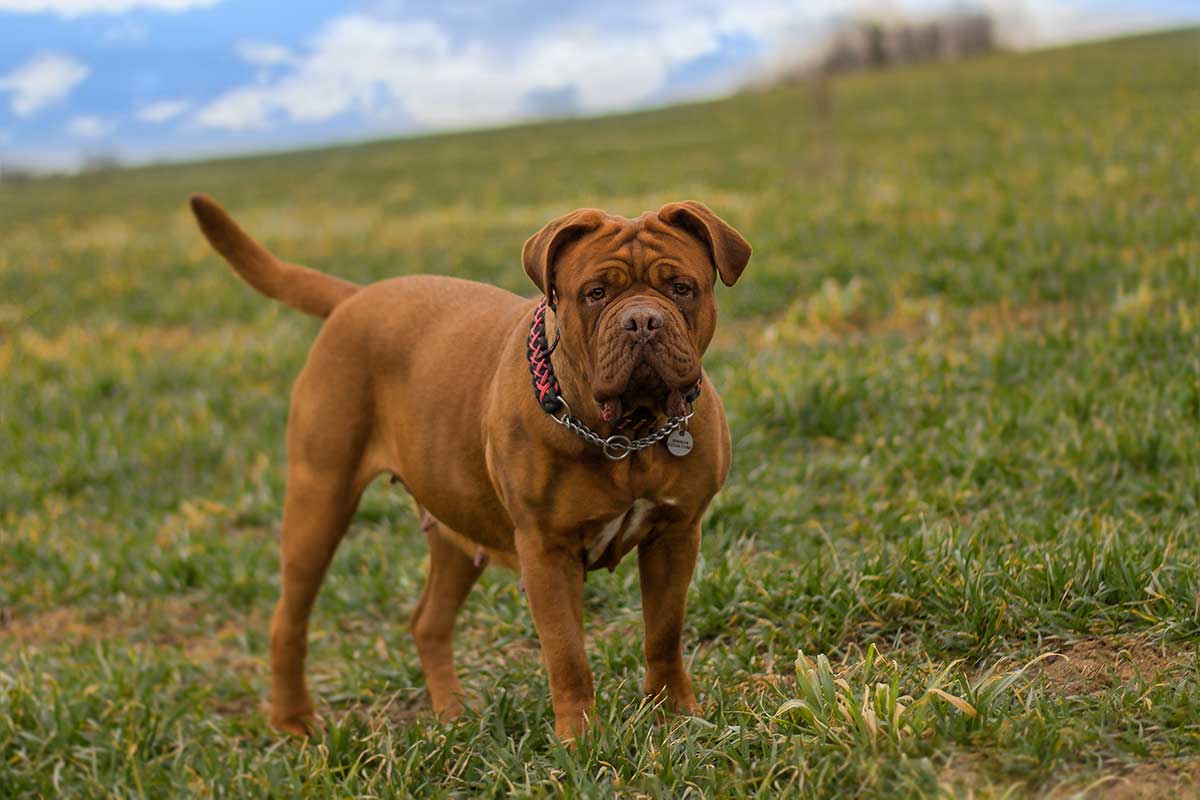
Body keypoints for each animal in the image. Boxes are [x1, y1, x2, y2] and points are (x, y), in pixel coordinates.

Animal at [187, 190, 748, 743]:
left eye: (681, 288)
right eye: (595, 293)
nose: (642, 321)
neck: (625, 436)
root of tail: (355, 297)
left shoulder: (676, 535)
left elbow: (664, 633)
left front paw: (676, 716)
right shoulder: (546, 553)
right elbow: (567, 655)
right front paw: (581, 743)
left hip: (453, 522)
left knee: (429, 621)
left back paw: (452, 715)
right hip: (319, 502)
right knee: (289, 619)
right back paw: (293, 720)